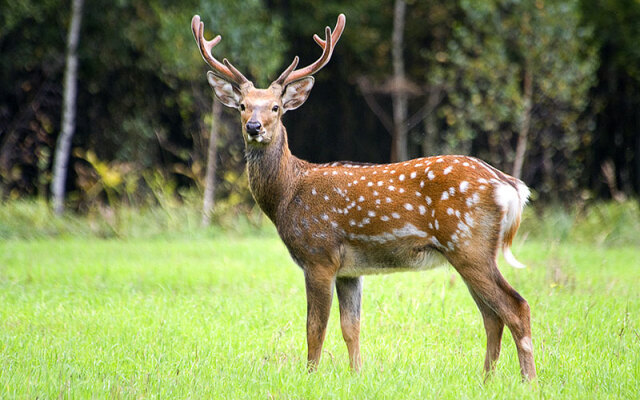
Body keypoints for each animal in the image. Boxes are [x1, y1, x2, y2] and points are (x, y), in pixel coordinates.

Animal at [190, 13, 536, 382]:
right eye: (242, 106)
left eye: (276, 107)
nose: (254, 127)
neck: (287, 194)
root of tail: (510, 185)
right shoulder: (349, 269)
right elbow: (350, 327)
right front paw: (357, 374)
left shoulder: (319, 255)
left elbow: (315, 327)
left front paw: (310, 376)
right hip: (469, 251)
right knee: (492, 315)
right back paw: (486, 379)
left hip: (468, 243)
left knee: (515, 307)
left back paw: (528, 381)